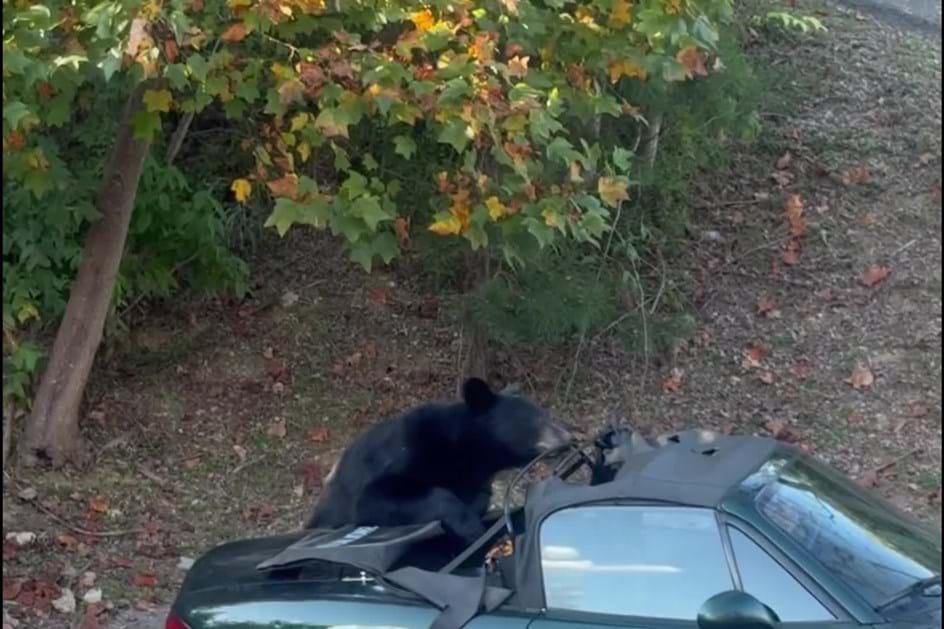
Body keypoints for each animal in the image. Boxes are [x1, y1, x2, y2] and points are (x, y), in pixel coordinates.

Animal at [305, 377, 572, 544]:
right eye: (537, 420)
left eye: (546, 415)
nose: (570, 436)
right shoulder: (404, 452)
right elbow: (375, 499)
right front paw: (469, 527)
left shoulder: (476, 478)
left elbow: (479, 496)